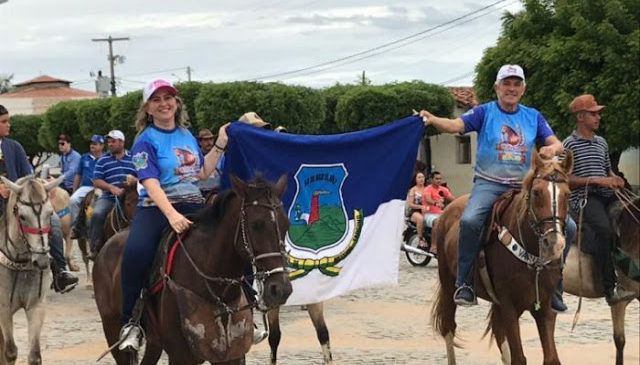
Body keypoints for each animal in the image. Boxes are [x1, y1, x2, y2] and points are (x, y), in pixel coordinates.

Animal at [0, 175, 60, 362]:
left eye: (50, 213)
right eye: (22, 216)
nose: (41, 261)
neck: (19, 263)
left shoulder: (37, 306)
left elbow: (34, 355)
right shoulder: (3, 308)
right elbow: (10, 352)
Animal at [92, 174, 292, 364]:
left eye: (286, 224)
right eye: (256, 224)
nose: (281, 289)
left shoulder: (232, 356)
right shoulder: (181, 357)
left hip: (154, 343)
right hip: (111, 328)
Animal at [430, 149, 576, 362]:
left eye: (568, 194)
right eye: (536, 192)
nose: (553, 243)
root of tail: (446, 212)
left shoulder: (546, 309)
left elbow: (551, 358)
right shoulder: (509, 306)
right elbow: (519, 358)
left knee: (498, 332)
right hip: (449, 286)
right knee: (449, 327)